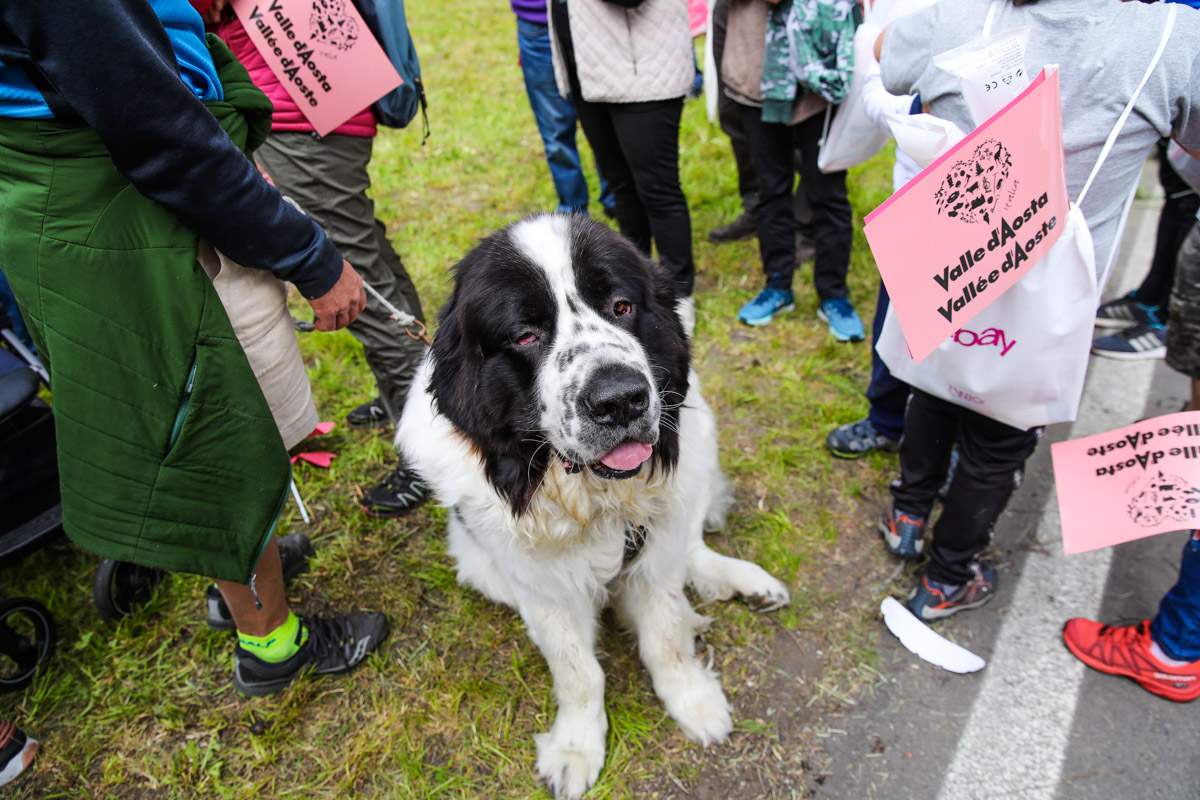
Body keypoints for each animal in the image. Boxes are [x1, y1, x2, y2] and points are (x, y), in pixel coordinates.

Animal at [398, 214, 792, 800]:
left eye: (622, 307)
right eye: (525, 335)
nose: (620, 399)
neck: (597, 501)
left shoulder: (655, 551)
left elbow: (664, 635)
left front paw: (693, 701)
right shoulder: (542, 587)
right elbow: (577, 670)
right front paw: (576, 748)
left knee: (691, 550)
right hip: (480, 565)